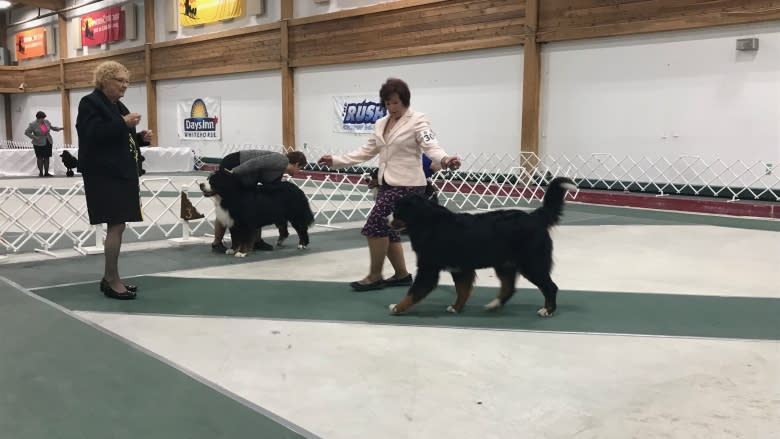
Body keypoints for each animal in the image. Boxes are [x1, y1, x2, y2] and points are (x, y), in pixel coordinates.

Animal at [386, 177, 576, 318]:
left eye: (397, 211)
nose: (386, 219)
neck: (428, 223)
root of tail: (533, 217)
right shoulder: (460, 269)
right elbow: (462, 291)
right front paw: (456, 308)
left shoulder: (429, 268)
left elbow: (414, 291)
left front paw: (397, 307)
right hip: (505, 264)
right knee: (509, 288)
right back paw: (494, 304)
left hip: (532, 264)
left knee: (550, 287)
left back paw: (547, 310)